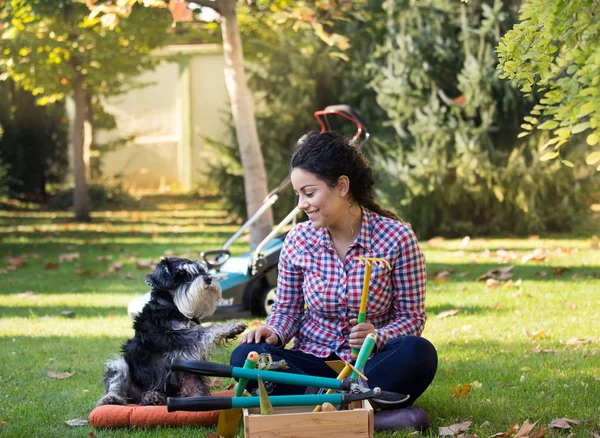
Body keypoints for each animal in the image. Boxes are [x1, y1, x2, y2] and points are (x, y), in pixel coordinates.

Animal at [97, 256, 247, 408]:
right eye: (181, 274)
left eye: (201, 270)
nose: (208, 278)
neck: (173, 308)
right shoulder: (176, 339)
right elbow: (204, 330)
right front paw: (231, 327)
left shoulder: (187, 357)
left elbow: (194, 381)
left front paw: (198, 397)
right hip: (119, 364)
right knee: (116, 386)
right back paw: (113, 398)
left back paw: (153, 397)